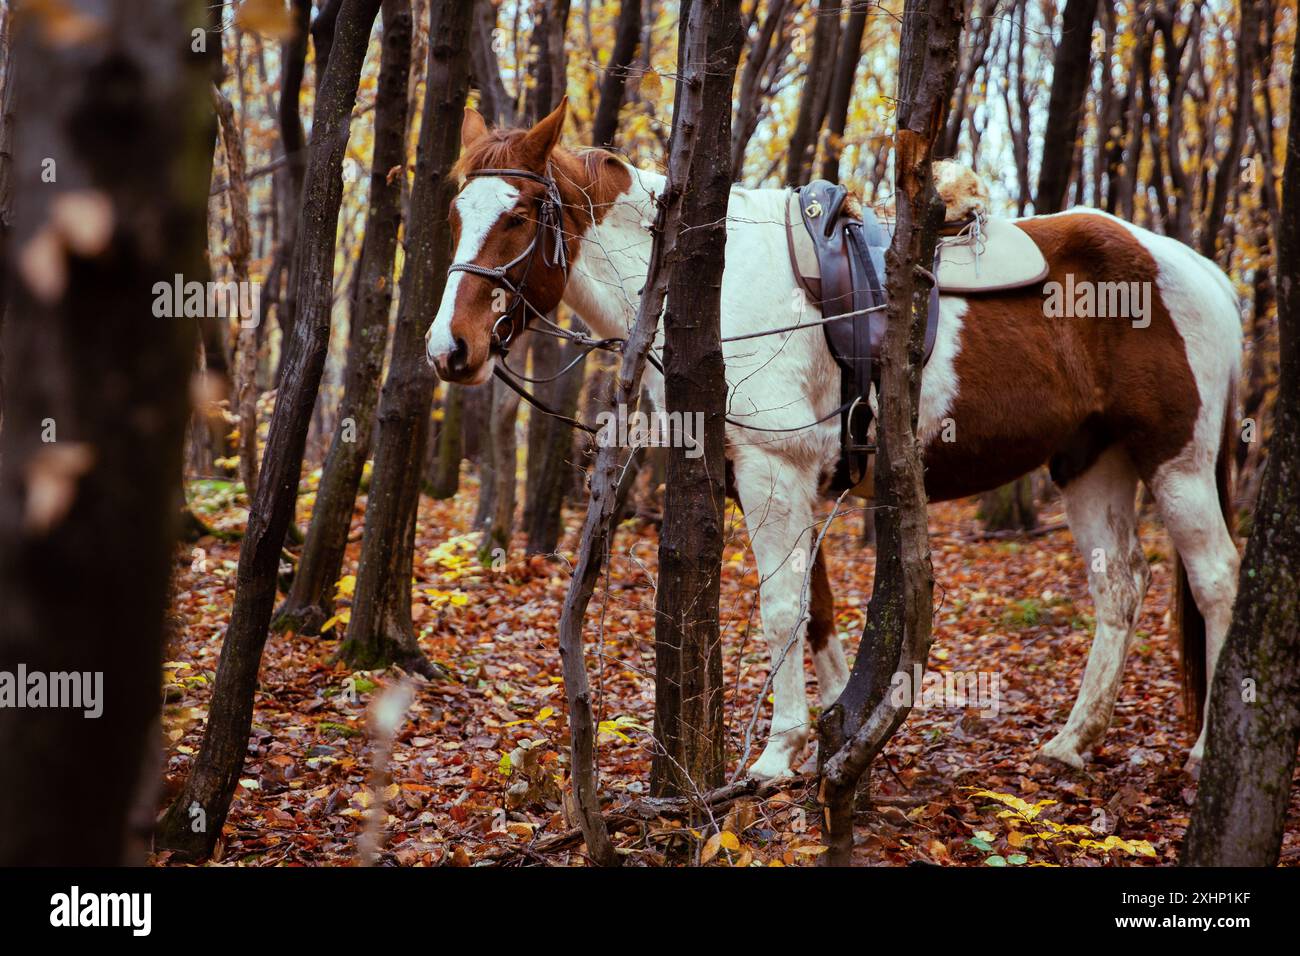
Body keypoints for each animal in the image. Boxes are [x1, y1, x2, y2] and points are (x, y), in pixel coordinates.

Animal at [425, 98, 1242, 781]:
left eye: (521, 215)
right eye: (458, 213)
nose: (450, 350)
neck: (718, 293)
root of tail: (1199, 269)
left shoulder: (773, 472)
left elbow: (780, 609)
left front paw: (777, 755)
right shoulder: (770, 479)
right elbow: (813, 610)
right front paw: (830, 737)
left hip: (1178, 463)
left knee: (1217, 579)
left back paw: (1208, 751)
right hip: (1091, 465)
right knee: (1120, 590)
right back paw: (1073, 742)